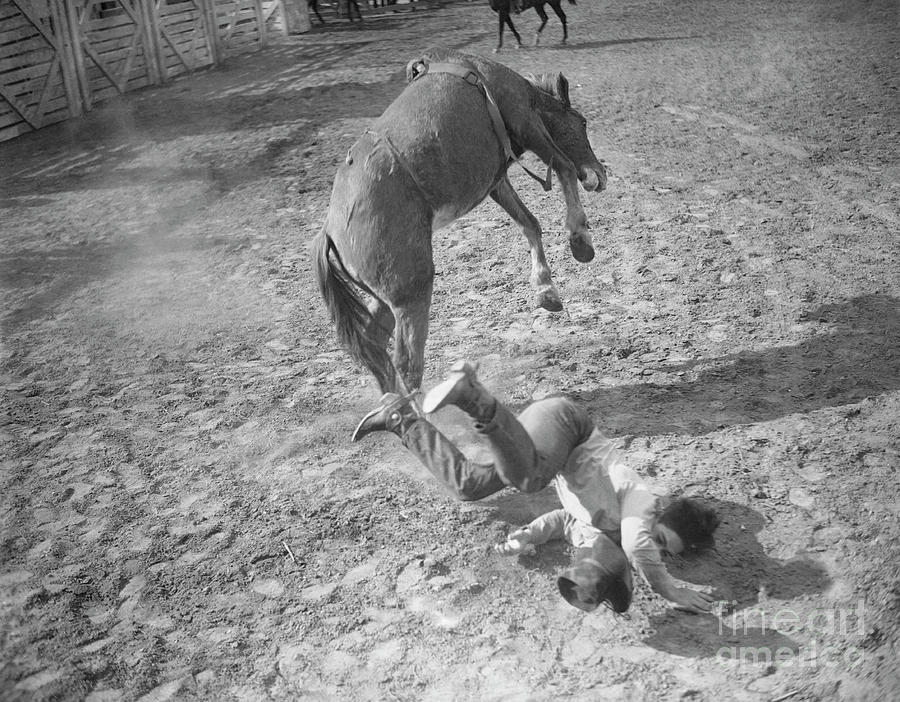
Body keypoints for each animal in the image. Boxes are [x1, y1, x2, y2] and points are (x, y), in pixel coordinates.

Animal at [312, 46, 608, 402]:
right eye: (583, 122)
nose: (600, 174)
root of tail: (330, 231)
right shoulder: (526, 121)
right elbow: (564, 167)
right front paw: (580, 239)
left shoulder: (496, 181)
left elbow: (530, 223)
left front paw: (546, 290)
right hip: (412, 292)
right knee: (407, 363)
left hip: (386, 296)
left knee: (374, 346)